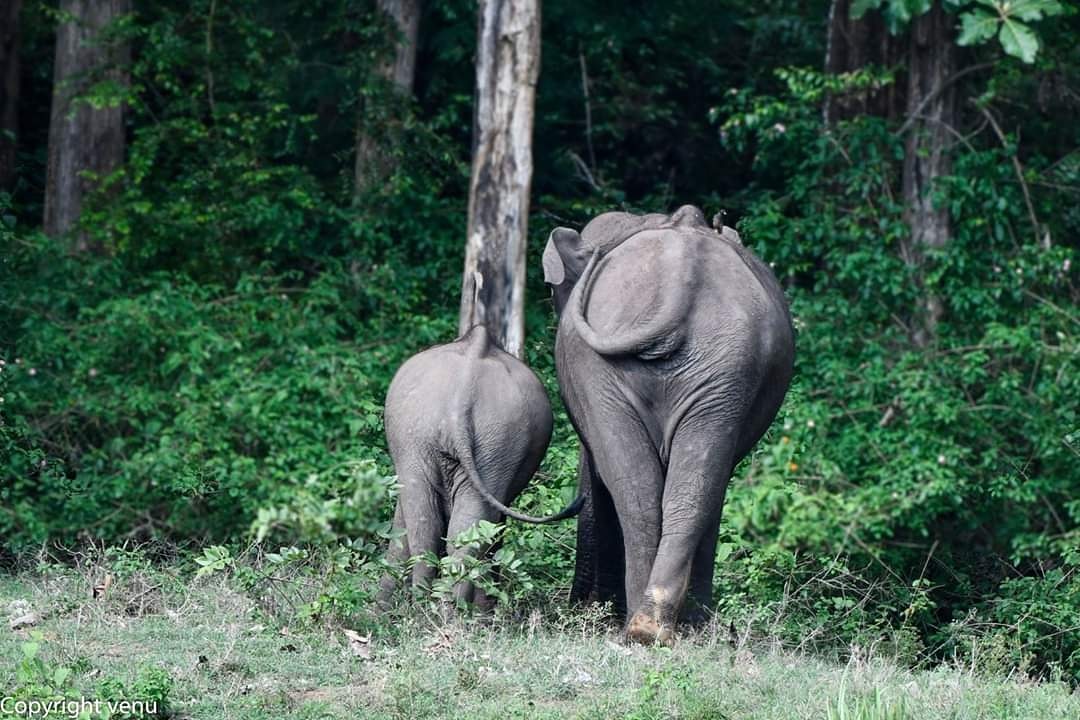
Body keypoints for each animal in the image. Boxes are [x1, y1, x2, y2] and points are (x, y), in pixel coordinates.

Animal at [380, 323, 583, 604]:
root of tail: (463, 391)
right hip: (447, 438)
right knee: (448, 527)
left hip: (471, 441)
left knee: (439, 526)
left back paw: (440, 608)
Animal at [544, 205, 790, 643]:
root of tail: (679, 274)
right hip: (719, 369)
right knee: (681, 488)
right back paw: (653, 626)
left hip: (702, 369)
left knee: (639, 486)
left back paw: (640, 624)